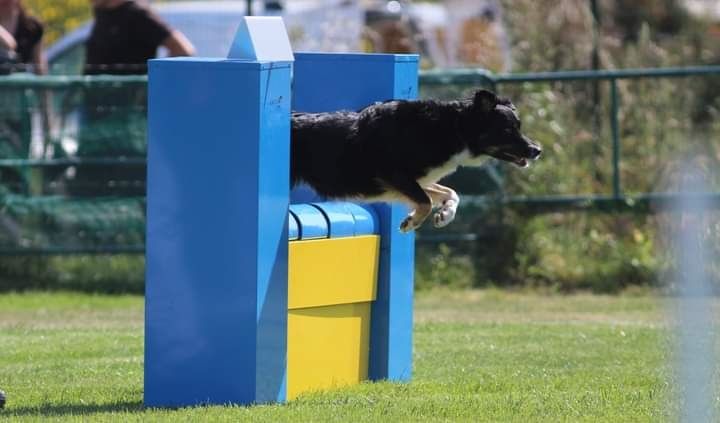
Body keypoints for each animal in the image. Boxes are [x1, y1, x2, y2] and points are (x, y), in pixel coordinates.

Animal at [288, 89, 540, 234]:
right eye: (507, 130)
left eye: (519, 127)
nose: (537, 150)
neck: (450, 129)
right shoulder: (393, 174)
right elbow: (426, 201)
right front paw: (412, 222)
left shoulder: (412, 181)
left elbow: (449, 193)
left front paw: (445, 215)